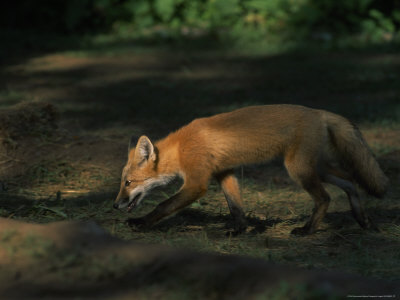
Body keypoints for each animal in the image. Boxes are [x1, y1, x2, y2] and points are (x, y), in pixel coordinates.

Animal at [113, 105, 388, 234]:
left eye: (128, 183)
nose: (115, 205)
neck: (182, 147)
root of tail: (319, 113)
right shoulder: (224, 173)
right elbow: (235, 206)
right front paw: (239, 231)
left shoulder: (197, 183)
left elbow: (163, 205)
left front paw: (141, 223)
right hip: (316, 168)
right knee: (350, 181)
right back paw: (362, 220)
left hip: (298, 169)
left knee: (325, 198)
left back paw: (308, 230)